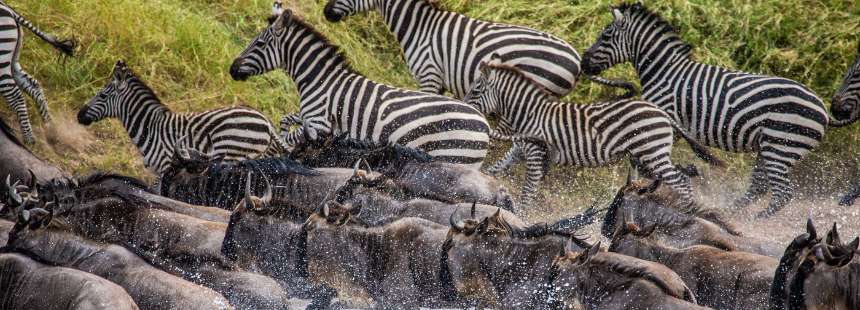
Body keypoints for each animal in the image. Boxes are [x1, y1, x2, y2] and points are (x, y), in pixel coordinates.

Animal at [0, 1, 75, 143]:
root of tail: (11, 11)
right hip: (12, 61)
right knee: (34, 86)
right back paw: (50, 128)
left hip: (1, 60)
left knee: (16, 96)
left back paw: (29, 139)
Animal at [78, 60, 286, 174]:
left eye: (102, 96)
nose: (79, 115)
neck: (150, 127)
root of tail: (265, 119)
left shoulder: (165, 166)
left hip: (234, 153)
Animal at [228, 9, 490, 168]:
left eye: (259, 44)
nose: (232, 69)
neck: (319, 81)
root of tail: (485, 124)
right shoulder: (312, 121)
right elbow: (287, 120)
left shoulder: (319, 124)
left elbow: (291, 134)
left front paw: (277, 148)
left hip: (454, 155)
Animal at [466, 57, 724, 211]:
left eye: (476, 90)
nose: (465, 107)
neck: (530, 114)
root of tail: (662, 112)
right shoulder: (520, 150)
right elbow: (494, 169)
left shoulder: (535, 154)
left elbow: (528, 191)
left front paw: (522, 216)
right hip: (647, 156)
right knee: (683, 176)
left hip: (652, 153)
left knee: (680, 181)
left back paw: (685, 216)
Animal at [580, 3, 828, 218]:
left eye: (605, 36)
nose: (583, 63)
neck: (664, 72)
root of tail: (822, 108)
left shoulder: (664, 120)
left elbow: (646, 163)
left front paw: (645, 186)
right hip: (768, 147)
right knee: (759, 188)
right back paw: (729, 213)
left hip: (781, 145)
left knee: (782, 194)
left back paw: (753, 221)